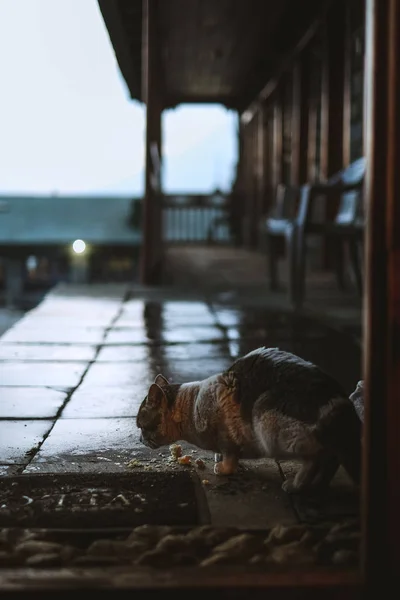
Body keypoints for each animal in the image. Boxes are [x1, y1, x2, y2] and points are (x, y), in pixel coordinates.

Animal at [136, 346, 360, 492]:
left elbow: (229, 458)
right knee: (330, 460)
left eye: (141, 427)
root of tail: (336, 396)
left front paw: (222, 467)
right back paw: (319, 485)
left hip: (269, 423)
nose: (139, 439)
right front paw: (219, 458)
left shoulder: (227, 437)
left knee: (314, 458)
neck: (191, 406)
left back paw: (295, 485)